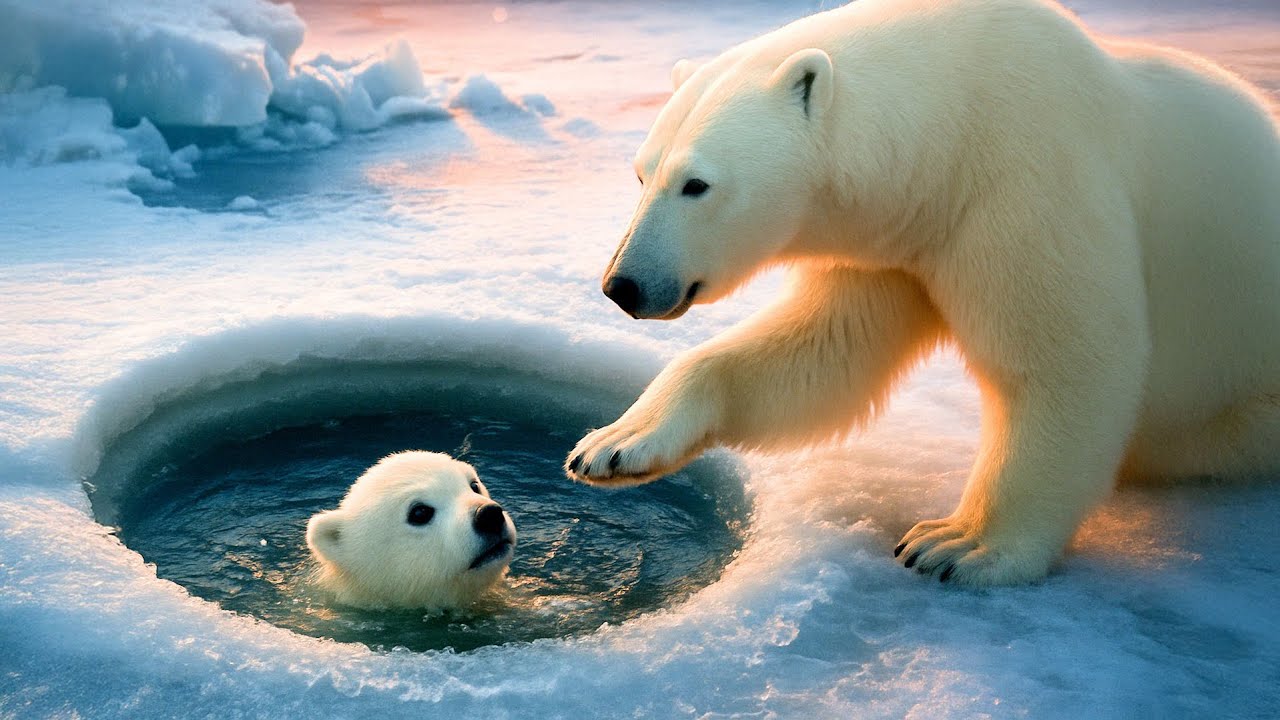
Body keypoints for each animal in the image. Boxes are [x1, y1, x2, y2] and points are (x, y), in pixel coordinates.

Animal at [565, 0, 1280, 586]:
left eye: (697, 184)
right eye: (641, 174)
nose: (622, 285)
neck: (955, 119)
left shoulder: (1029, 180)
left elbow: (1067, 358)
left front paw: (958, 544)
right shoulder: (897, 239)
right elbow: (826, 351)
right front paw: (614, 442)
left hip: (1239, 408)